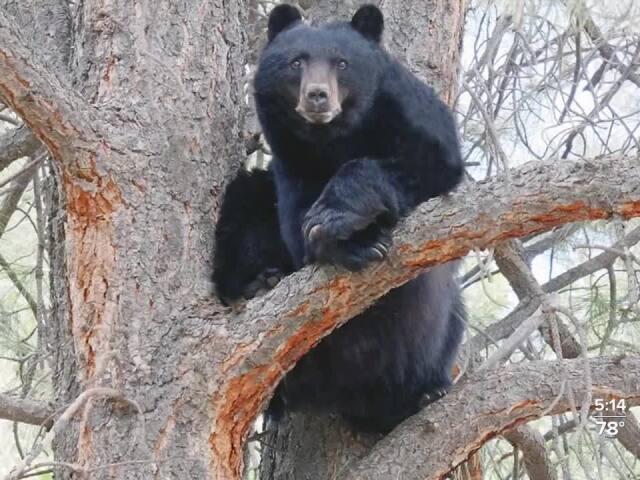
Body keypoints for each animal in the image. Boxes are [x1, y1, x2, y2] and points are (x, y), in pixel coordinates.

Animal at [213, 4, 465, 433]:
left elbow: (432, 163)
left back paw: (425, 392)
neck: (332, 139)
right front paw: (350, 243)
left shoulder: (410, 112)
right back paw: (258, 284)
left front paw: (336, 216)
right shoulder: (291, 164)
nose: (317, 96)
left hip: (434, 334)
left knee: (450, 323)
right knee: (243, 205)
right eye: (296, 62)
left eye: (342, 63)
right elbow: (296, 230)